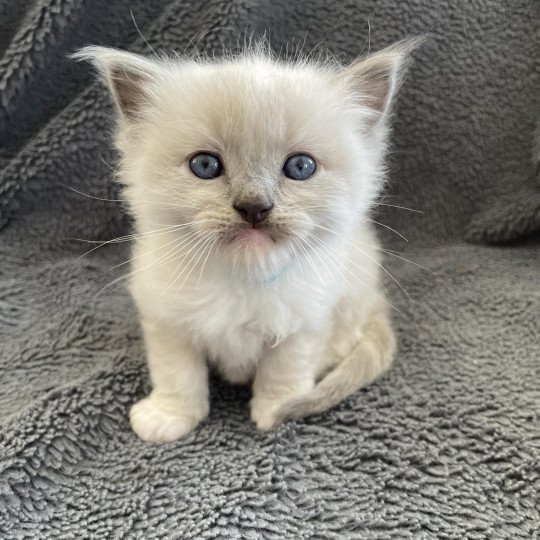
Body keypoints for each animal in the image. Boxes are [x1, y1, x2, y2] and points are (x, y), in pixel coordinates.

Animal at [76, 40, 420, 440]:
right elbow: (177, 374)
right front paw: (169, 417)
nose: (254, 207)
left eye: (300, 167)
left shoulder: (304, 322)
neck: (242, 277)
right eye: (205, 165)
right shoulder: (167, 320)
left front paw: (275, 411)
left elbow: (284, 370)